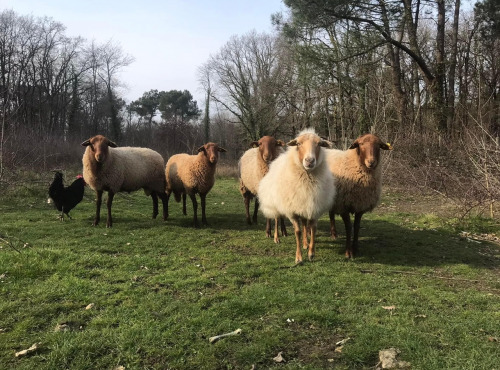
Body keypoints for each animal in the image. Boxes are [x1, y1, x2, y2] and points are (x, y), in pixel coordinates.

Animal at [258, 129, 336, 264]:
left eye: (319, 144)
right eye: (298, 144)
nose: (310, 161)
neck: (307, 180)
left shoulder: (313, 207)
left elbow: (312, 228)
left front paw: (311, 253)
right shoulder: (292, 210)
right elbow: (298, 232)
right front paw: (299, 257)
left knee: (304, 224)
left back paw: (305, 243)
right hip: (276, 203)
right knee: (277, 219)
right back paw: (276, 238)